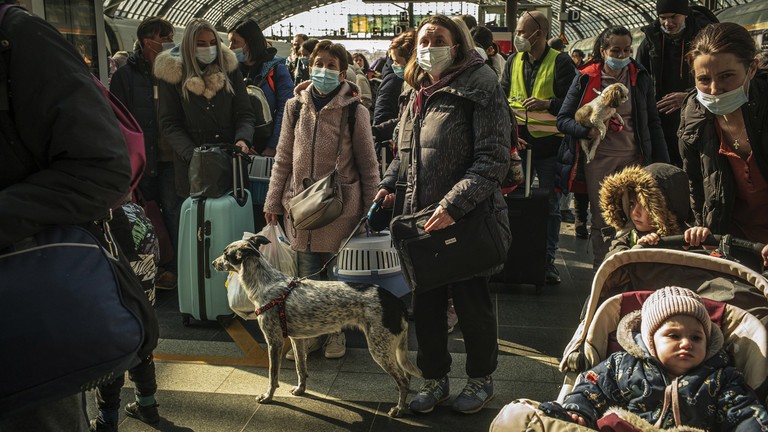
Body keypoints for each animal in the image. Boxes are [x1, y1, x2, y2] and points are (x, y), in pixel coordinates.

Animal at [212, 235, 420, 416]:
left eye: (225, 253)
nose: (213, 263)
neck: (266, 283)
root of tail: (397, 302)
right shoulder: (297, 339)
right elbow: (300, 368)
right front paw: (300, 390)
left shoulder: (274, 342)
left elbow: (273, 375)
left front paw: (268, 396)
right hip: (392, 348)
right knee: (406, 375)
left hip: (379, 348)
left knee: (403, 379)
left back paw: (399, 409)